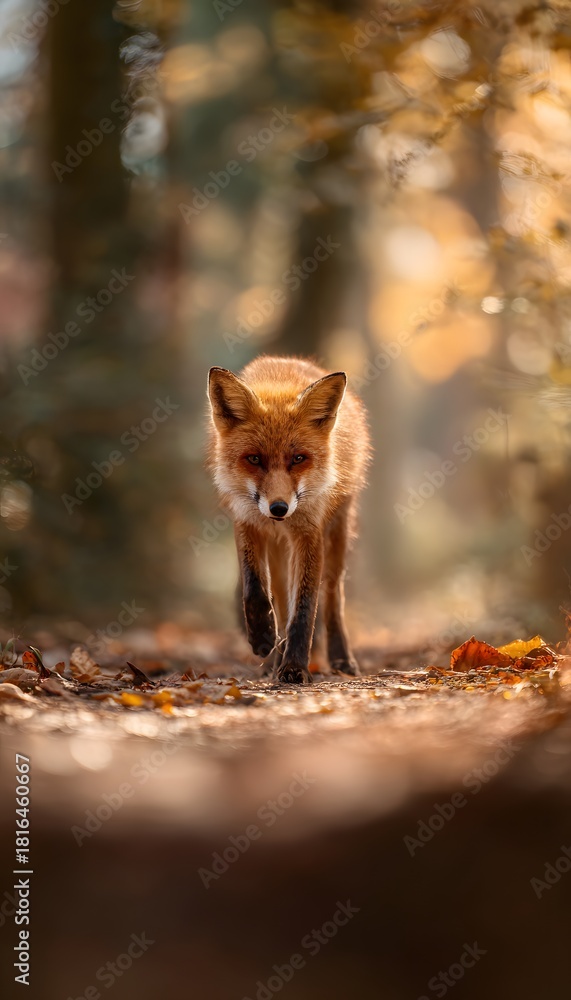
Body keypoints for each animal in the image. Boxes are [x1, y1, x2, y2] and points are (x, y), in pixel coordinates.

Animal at [207, 355, 371, 684]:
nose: (279, 508)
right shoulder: (247, 523)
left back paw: (341, 658)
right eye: (254, 459)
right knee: (281, 602)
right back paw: (273, 658)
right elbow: (254, 589)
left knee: (333, 595)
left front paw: (295, 667)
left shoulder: (309, 532)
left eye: (298, 459)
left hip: (338, 532)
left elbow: (305, 609)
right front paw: (263, 639)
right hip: (279, 551)